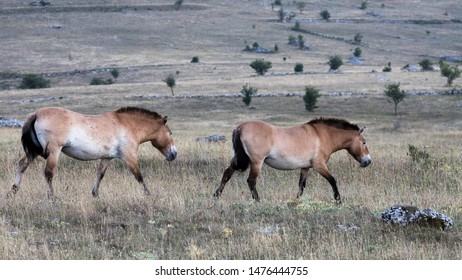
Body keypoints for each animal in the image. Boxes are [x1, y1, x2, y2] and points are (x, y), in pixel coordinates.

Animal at [11, 105, 177, 199]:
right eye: (170, 133)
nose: (174, 154)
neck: (128, 125)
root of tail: (35, 114)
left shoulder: (107, 158)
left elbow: (100, 175)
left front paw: (95, 194)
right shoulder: (129, 156)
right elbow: (139, 176)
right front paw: (148, 194)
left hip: (34, 151)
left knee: (22, 164)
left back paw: (14, 190)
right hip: (53, 151)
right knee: (48, 173)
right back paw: (52, 196)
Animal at [216, 117, 372, 202]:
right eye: (364, 142)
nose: (368, 161)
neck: (322, 135)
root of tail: (239, 128)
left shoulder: (305, 167)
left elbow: (301, 186)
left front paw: (296, 201)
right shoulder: (319, 165)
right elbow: (332, 180)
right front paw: (338, 199)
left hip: (238, 159)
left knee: (227, 173)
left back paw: (216, 195)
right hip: (256, 162)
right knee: (251, 181)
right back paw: (258, 200)